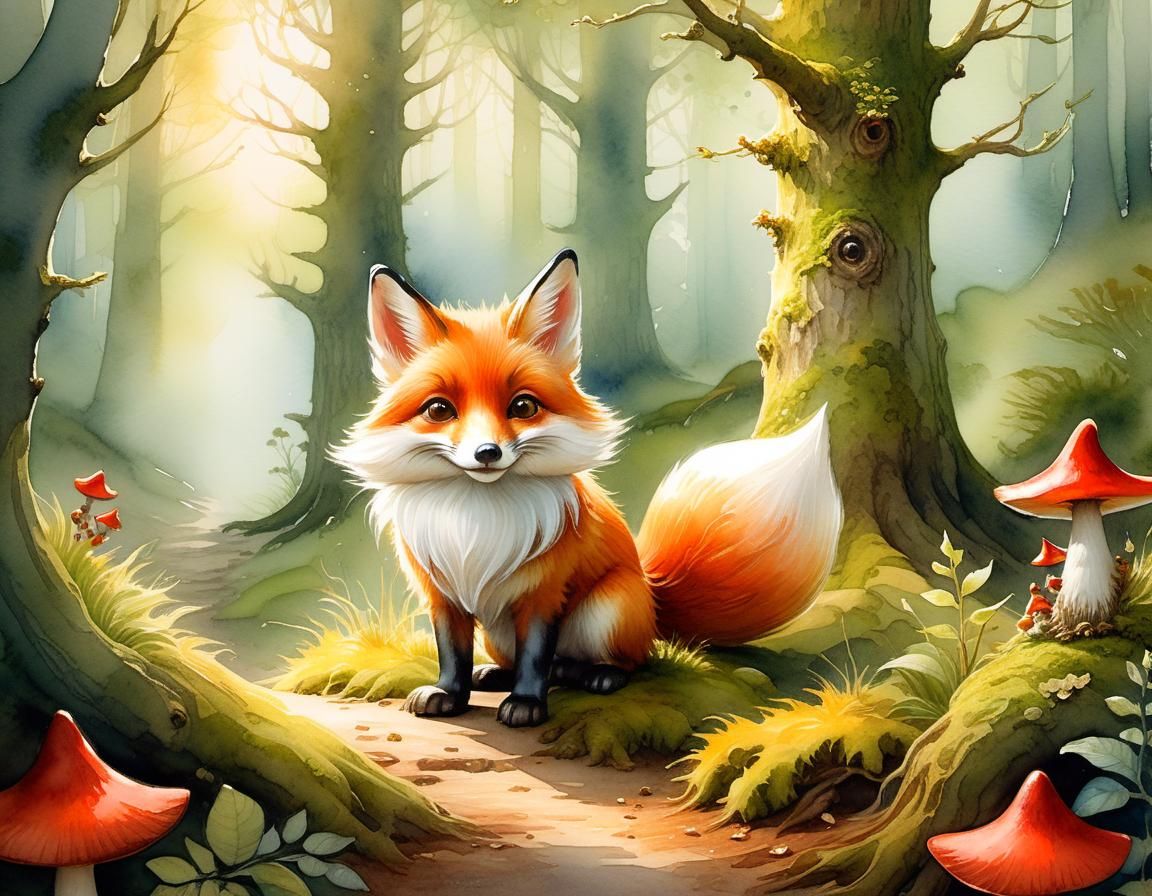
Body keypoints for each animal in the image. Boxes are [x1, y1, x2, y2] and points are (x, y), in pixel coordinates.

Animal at [334, 249, 843, 728]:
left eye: (523, 406)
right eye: (439, 410)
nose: (487, 453)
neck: (477, 519)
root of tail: (652, 593)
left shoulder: (545, 594)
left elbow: (536, 655)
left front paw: (527, 704)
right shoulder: (441, 594)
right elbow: (452, 653)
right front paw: (449, 695)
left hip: (605, 611)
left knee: (621, 662)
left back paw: (596, 676)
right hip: (498, 632)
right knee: (535, 661)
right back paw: (498, 675)